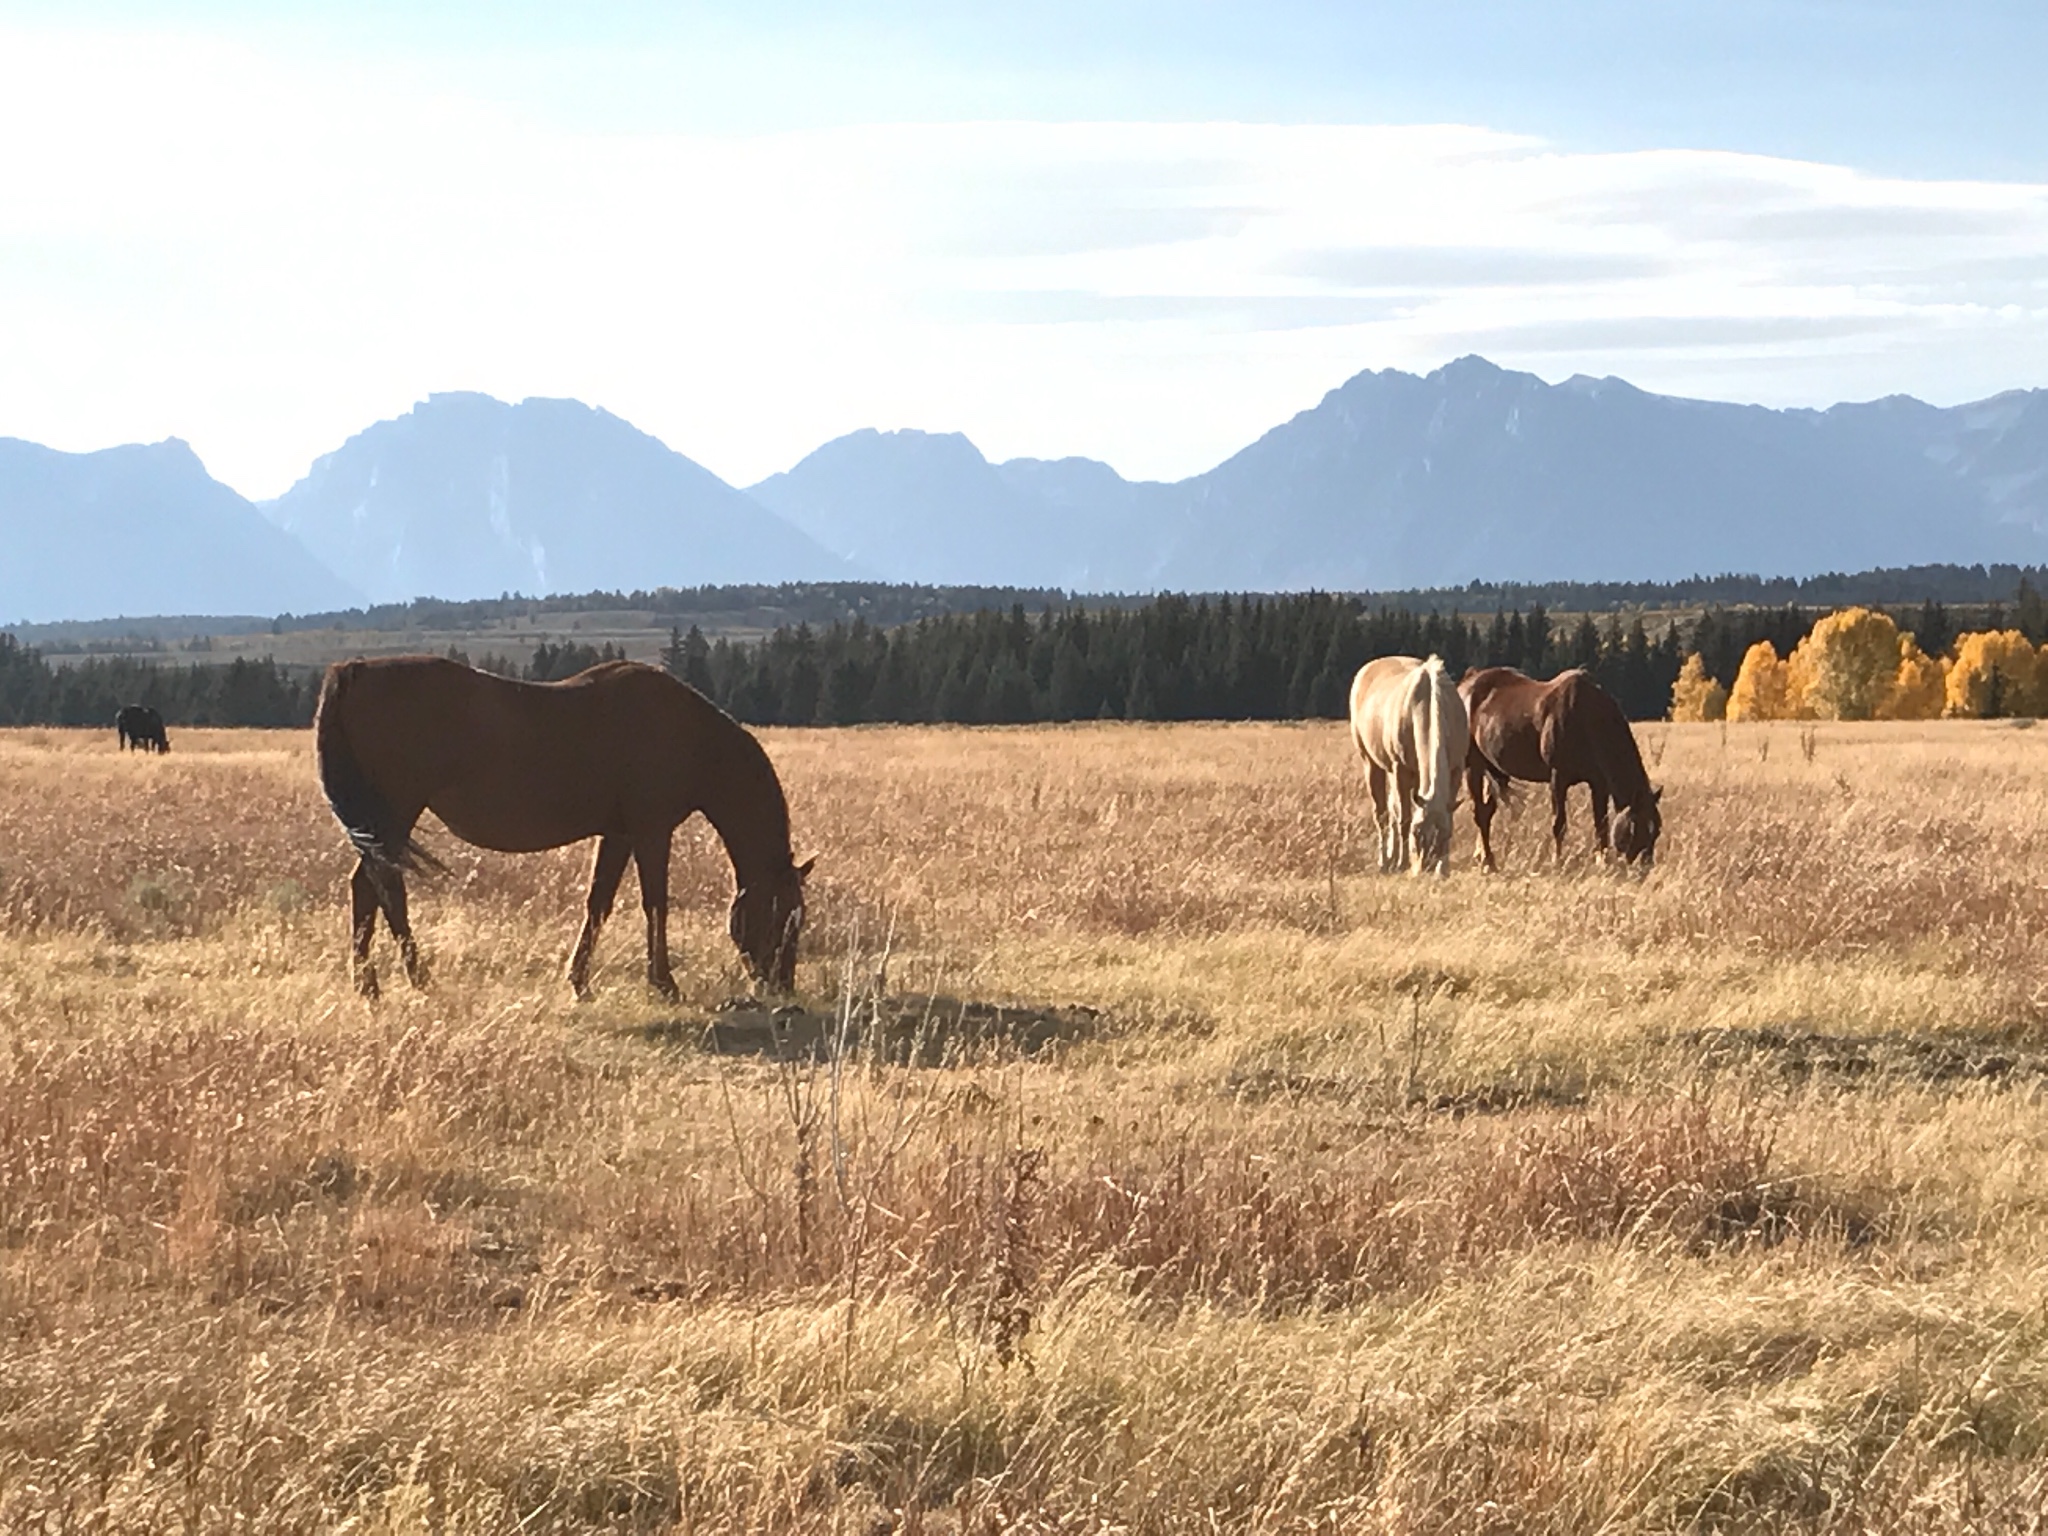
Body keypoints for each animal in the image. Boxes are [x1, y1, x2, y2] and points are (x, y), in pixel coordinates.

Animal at [315, 655, 811, 1003]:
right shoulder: (651, 831)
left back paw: (369, 984)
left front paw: (579, 981)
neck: (690, 736)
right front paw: (664, 983)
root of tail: (352, 672)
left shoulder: (620, 834)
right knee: (386, 886)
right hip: (397, 813)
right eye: (786, 917)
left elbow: (599, 903)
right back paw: (418, 978)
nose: (781, 985)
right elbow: (656, 903)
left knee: (367, 886)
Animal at [1343, 655, 1474, 876]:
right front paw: (1402, 863)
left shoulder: (1455, 771)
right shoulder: (1400, 771)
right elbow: (1403, 818)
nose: (1426, 867)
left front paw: (1443, 868)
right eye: (1417, 831)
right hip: (1373, 765)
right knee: (1383, 814)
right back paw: (1385, 862)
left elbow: (1448, 815)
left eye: (1443, 835)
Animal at [1458, 667, 1662, 872]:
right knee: (1480, 813)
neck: (1586, 718)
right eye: (1635, 828)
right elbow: (1559, 824)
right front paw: (1558, 862)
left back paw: (1482, 858)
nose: (1645, 868)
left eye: (1657, 830)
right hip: (1474, 766)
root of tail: (1465, 685)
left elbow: (1601, 824)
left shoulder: (1598, 784)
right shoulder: (1558, 777)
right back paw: (1489, 862)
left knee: (1488, 811)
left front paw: (1603, 862)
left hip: (1495, 770)